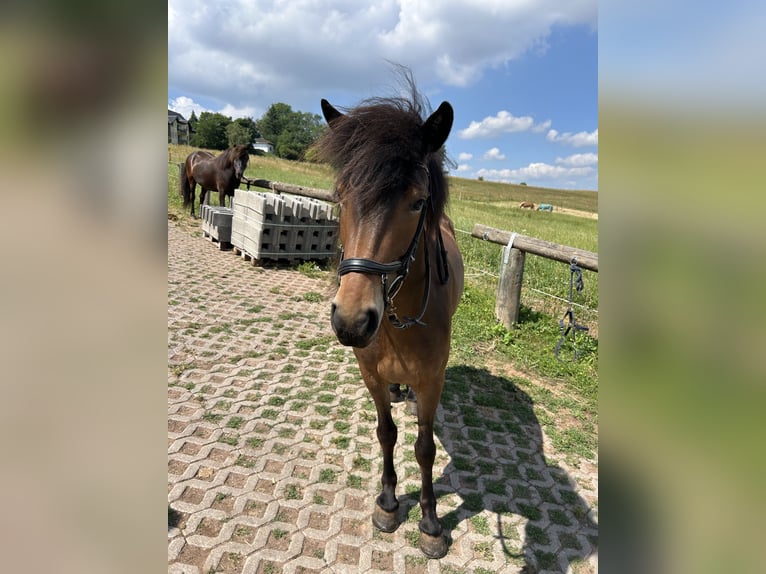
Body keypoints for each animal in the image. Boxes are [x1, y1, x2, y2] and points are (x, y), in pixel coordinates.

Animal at [313, 83, 464, 559]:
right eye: (341, 195)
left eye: (417, 202)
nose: (351, 320)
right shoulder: (371, 376)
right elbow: (386, 434)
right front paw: (387, 501)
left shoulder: (433, 381)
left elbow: (425, 448)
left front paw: (431, 522)